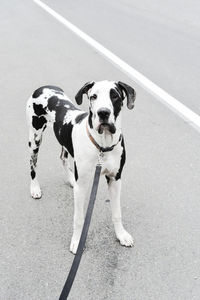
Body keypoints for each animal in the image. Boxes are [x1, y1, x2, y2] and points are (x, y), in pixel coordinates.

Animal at [26, 79, 136, 253]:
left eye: (115, 96)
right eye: (93, 96)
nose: (103, 113)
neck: (102, 145)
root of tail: (43, 87)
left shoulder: (115, 179)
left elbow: (117, 213)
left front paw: (121, 235)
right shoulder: (82, 186)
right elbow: (78, 218)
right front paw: (77, 242)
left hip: (64, 141)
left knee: (63, 157)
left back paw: (71, 179)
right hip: (35, 138)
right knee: (32, 165)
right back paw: (35, 188)